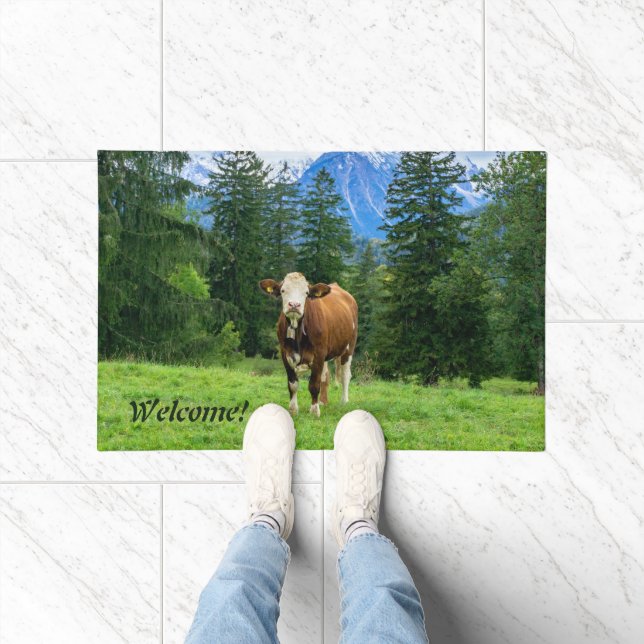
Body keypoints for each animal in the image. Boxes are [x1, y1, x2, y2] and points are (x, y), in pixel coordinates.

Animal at [259, 272, 358, 417]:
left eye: (306, 293)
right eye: (283, 290)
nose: (294, 305)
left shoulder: (318, 354)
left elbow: (314, 385)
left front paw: (314, 411)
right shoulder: (285, 353)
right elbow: (293, 384)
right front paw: (293, 409)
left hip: (349, 346)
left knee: (345, 374)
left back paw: (344, 401)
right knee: (325, 376)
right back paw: (323, 401)